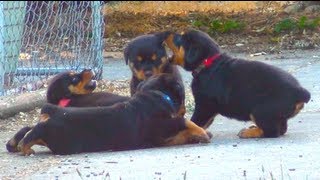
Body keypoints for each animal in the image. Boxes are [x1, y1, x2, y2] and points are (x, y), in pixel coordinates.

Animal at [11, 74, 210, 155]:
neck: (154, 94)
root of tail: (53, 110)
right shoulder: (163, 127)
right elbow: (184, 122)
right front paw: (203, 133)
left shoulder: (162, 139)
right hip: (64, 140)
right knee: (35, 132)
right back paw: (24, 146)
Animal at [162, 29, 310, 138]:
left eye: (180, 38)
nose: (167, 33)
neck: (207, 63)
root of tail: (300, 91)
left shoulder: (204, 105)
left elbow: (195, 121)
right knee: (281, 129)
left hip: (260, 110)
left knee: (272, 132)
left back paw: (249, 132)